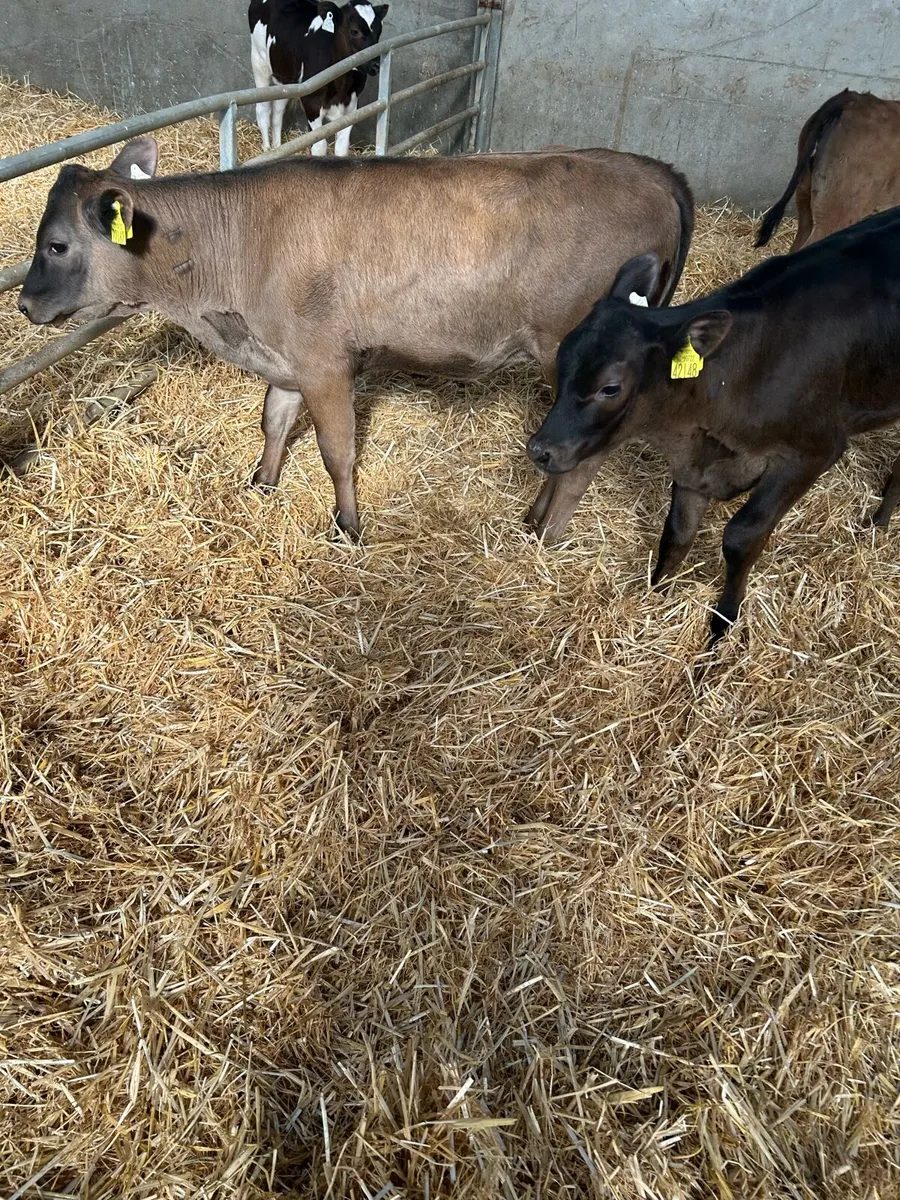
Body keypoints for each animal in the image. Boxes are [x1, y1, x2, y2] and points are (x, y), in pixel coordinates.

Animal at [17, 137, 693, 541]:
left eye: (56, 246)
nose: (24, 303)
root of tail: (653, 170)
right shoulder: (288, 358)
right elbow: (273, 420)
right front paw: (263, 484)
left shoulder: (324, 364)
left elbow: (336, 452)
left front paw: (347, 523)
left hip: (582, 364)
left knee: (584, 460)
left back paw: (544, 535)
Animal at [249, 0, 387, 154]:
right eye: (354, 31)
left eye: (379, 30)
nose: (376, 65)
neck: (340, 84)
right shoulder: (311, 102)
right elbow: (319, 146)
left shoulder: (351, 104)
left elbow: (342, 146)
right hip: (259, 62)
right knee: (263, 110)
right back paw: (267, 150)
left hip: (284, 78)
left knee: (278, 111)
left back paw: (277, 148)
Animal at [526, 206, 900, 646]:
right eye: (562, 358)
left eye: (610, 387)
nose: (540, 449)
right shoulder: (695, 463)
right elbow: (677, 532)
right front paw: (658, 596)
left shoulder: (813, 450)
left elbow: (743, 535)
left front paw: (722, 625)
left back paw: (878, 522)